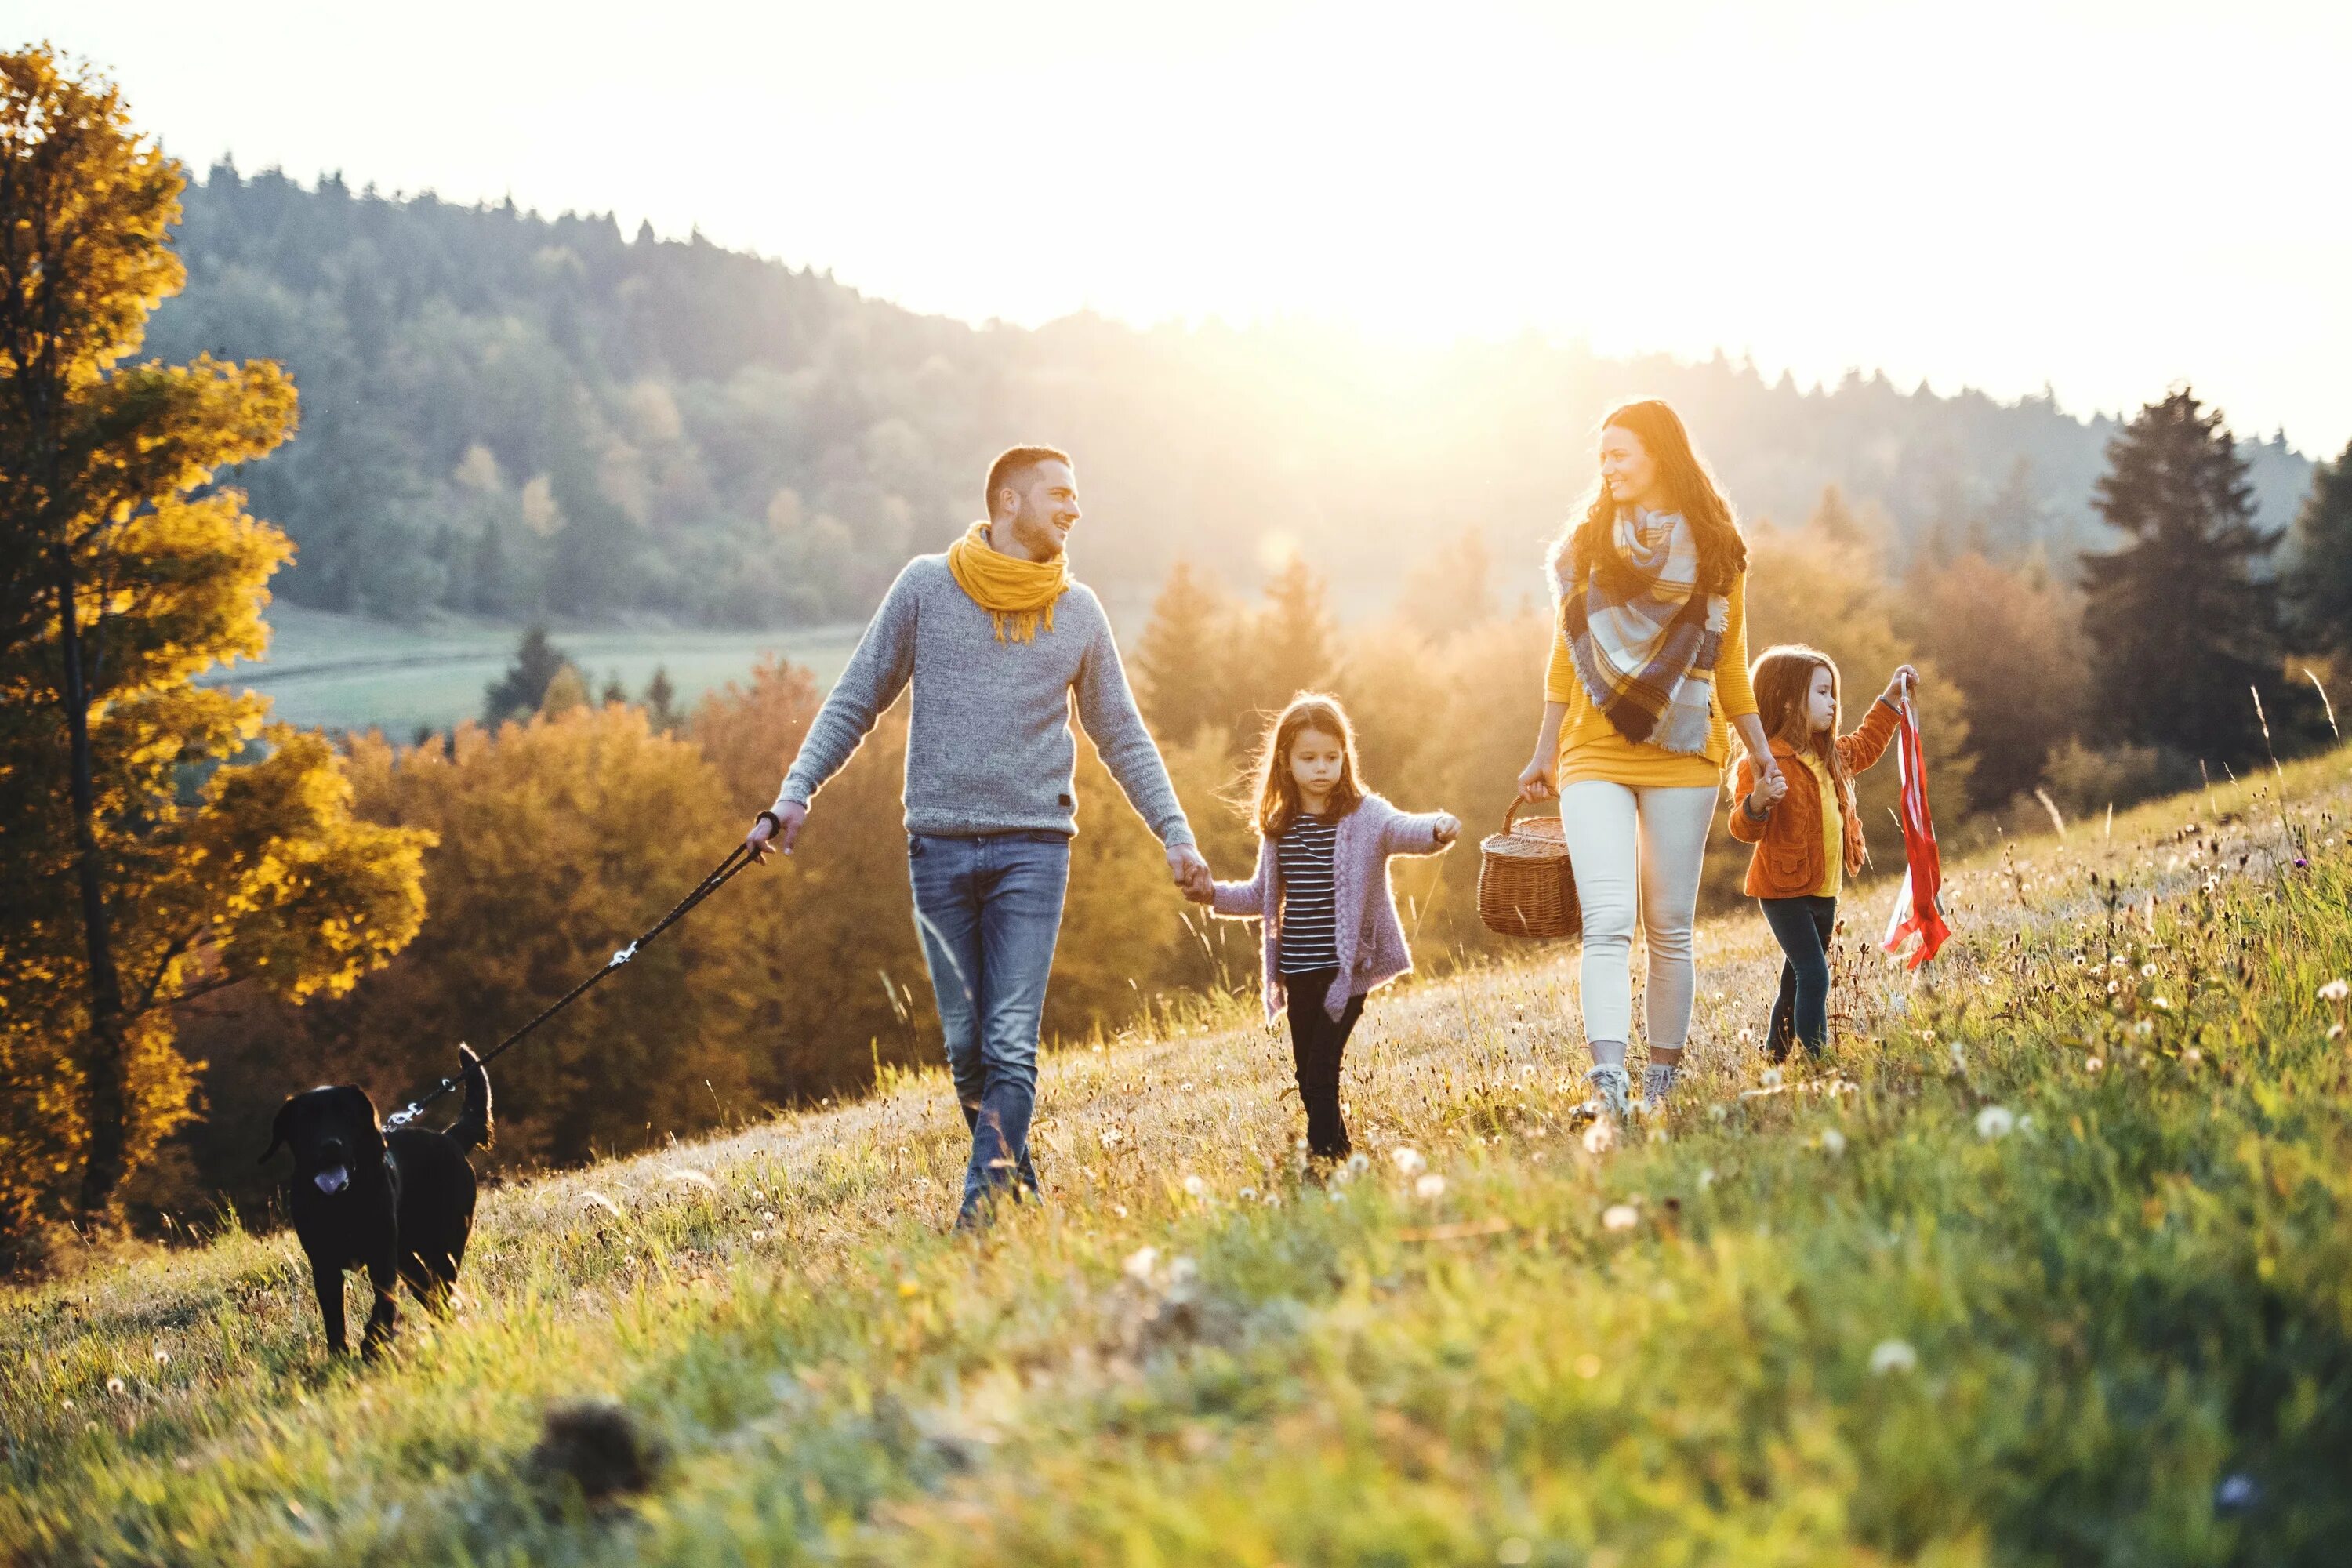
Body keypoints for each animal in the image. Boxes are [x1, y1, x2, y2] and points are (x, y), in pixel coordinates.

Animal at [262, 1053, 492, 1363]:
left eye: (347, 1114)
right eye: (306, 1120)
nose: (330, 1146)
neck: (342, 1202)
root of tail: (451, 1137)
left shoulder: (381, 1256)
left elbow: (383, 1303)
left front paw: (373, 1343)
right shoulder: (324, 1263)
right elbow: (334, 1317)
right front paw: (339, 1358)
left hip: (444, 1245)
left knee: (441, 1289)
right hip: (407, 1257)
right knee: (430, 1293)